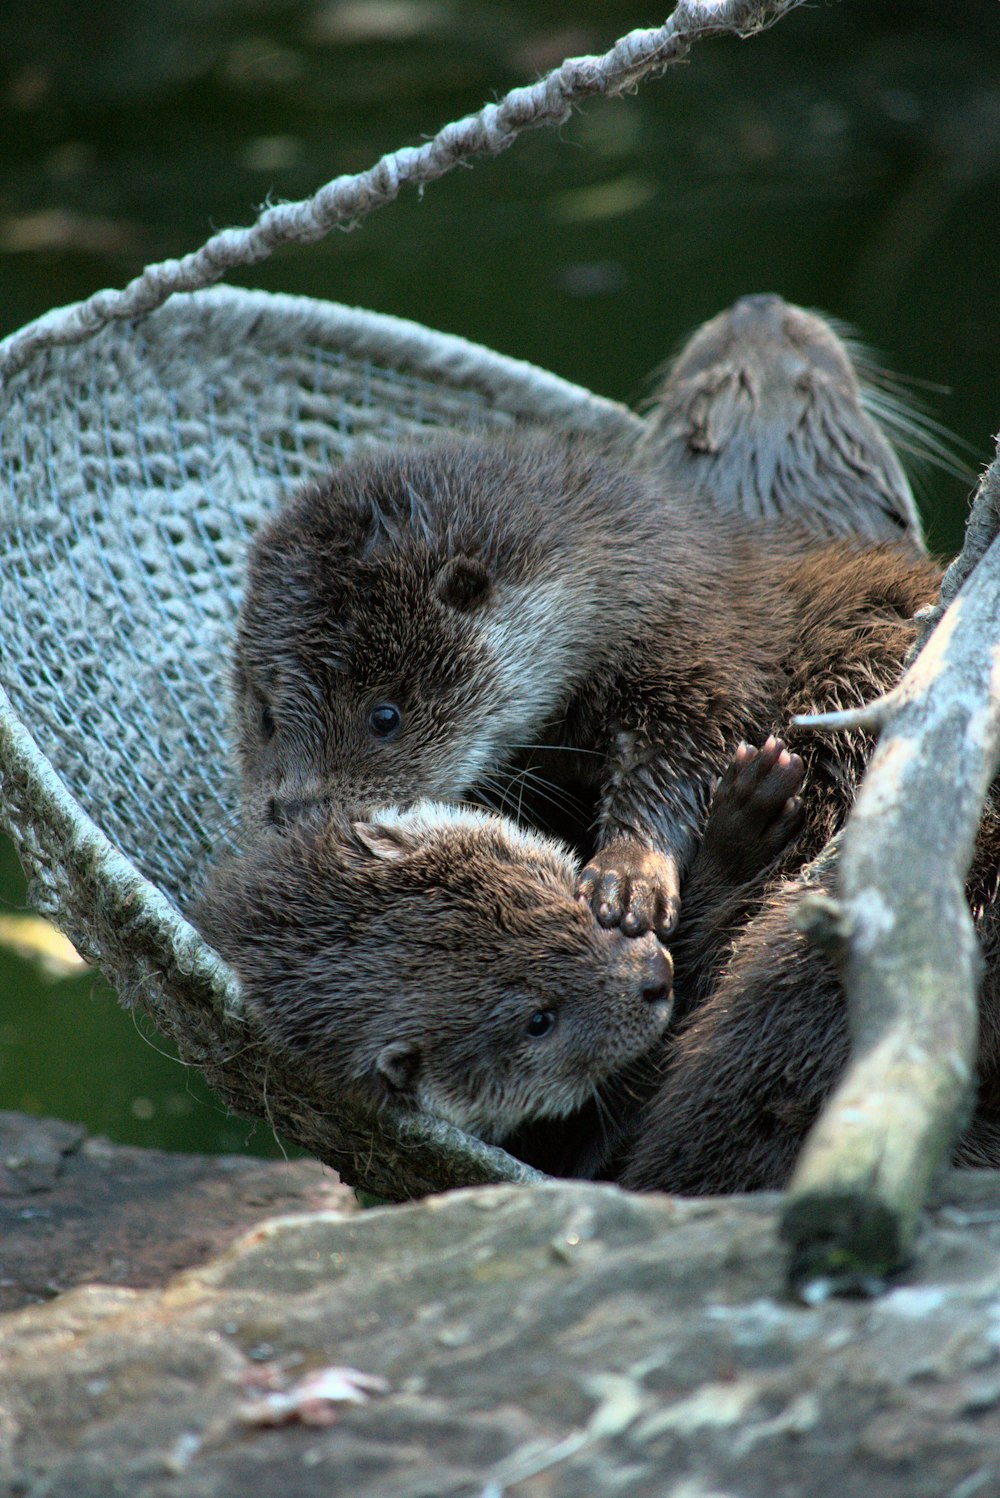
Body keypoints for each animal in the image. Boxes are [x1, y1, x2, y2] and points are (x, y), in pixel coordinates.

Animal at [236, 434, 946, 946]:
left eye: (385, 715)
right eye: (265, 717)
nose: (292, 812)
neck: (635, 581)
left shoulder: (701, 651)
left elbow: (679, 756)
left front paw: (627, 876)